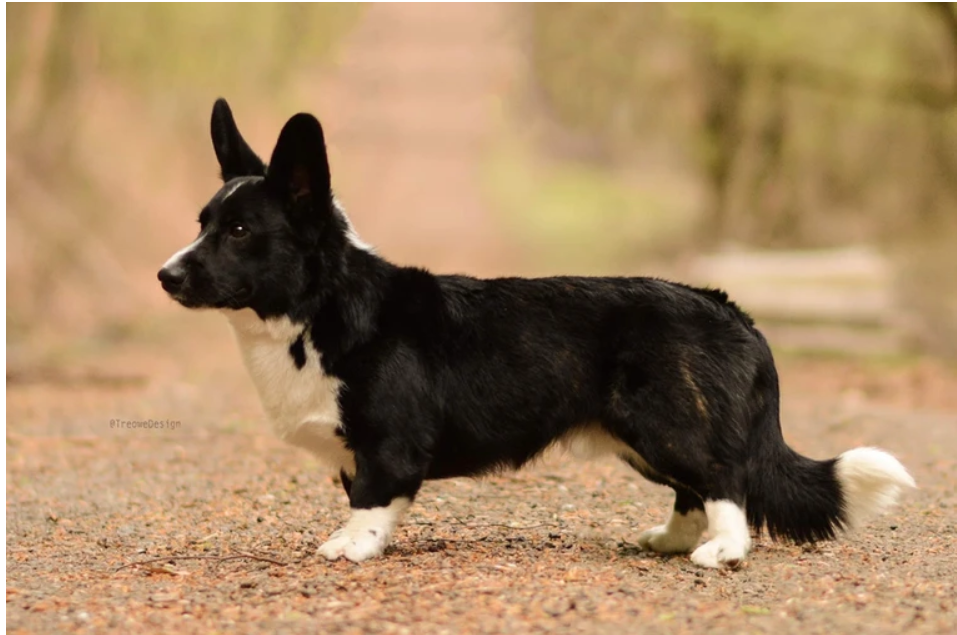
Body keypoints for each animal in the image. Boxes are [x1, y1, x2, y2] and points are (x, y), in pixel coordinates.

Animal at [161, 100, 916, 572]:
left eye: (240, 231)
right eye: (203, 222)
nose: (165, 276)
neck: (320, 308)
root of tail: (729, 309)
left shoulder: (388, 446)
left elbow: (370, 501)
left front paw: (352, 546)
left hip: (666, 424)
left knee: (724, 479)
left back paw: (720, 553)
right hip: (642, 440)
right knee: (692, 489)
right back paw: (669, 540)